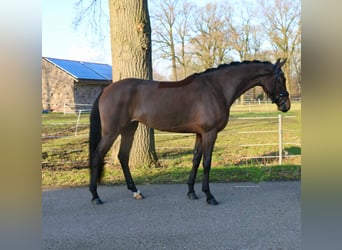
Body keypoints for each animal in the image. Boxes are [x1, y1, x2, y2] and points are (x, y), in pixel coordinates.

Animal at [88, 58, 288, 205]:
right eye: (281, 79)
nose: (286, 105)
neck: (216, 88)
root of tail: (106, 90)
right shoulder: (210, 133)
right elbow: (207, 163)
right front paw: (209, 196)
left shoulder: (200, 134)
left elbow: (196, 160)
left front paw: (192, 192)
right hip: (112, 132)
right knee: (97, 155)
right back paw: (95, 196)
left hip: (129, 128)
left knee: (123, 156)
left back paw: (136, 191)